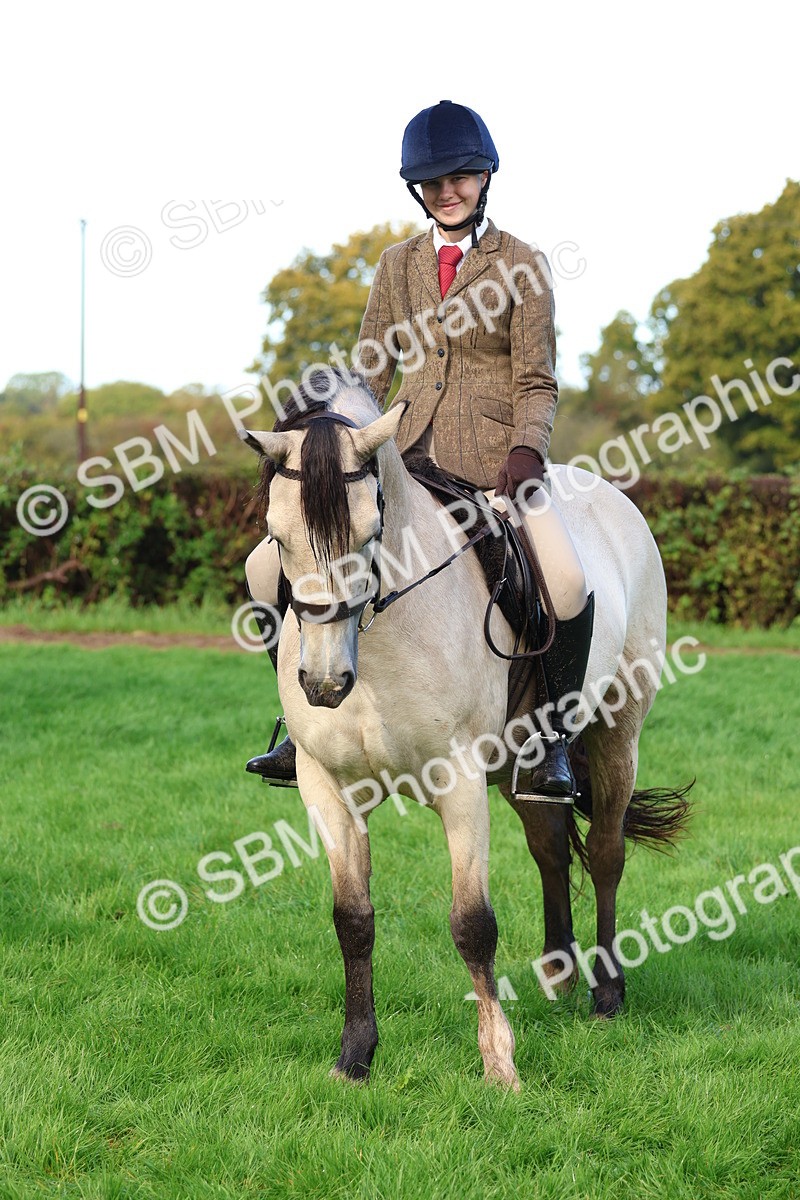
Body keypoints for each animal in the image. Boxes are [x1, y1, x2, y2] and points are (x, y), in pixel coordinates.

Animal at [240, 367, 692, 1091]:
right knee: (549, 845)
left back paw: (606, 992)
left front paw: (500, 1064)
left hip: (617, 732)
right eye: (276, 537)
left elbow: (473, 922)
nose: (325, 684)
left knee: (605, 853)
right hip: (517, 764)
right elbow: (352, 919)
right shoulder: (326, 785)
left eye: (371, 530)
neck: (380, 639)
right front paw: (355, 1055)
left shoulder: (458, 779)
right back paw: (559, 970)